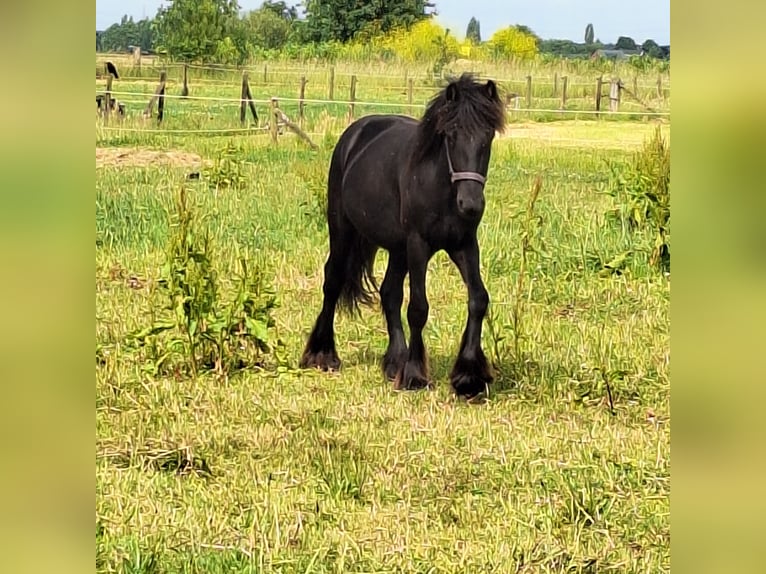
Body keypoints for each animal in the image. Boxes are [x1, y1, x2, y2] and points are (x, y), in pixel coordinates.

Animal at [300, 73, 506, 398]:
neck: (438, 185)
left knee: (389, 293)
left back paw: (394, 361)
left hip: (398, 249)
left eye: (488, 137)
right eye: (451, 136)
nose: (471, 204)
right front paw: (415, 376)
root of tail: (355, 134)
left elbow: (478, 299)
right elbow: (419, 308)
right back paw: (323, 355)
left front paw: (469, 377)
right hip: (343, 229)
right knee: (332, 281)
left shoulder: (464, 245)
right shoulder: (418, 245)